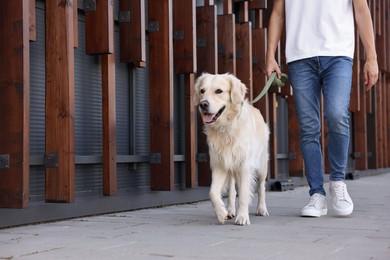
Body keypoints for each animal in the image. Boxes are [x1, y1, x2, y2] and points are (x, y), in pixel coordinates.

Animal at [194, 73, 270, 225]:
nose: (203, 104)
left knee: (261, 186)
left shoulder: (245, 166)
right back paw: (230, 210)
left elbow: (244, 194)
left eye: (218, 91)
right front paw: (221, 213)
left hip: (262, 164)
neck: (226, 127)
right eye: (202, 91)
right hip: (231, 169)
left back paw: (261, 209)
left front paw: (242, 217)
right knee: (231, 191)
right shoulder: (219, 165)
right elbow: (212, 193)